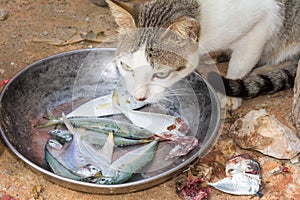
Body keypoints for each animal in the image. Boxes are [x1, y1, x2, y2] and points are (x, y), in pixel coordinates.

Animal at [106, 0, 300, 108]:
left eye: (161, 74)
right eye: (126, 66)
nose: (138, 97)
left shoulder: (262, 23)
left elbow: (241, 61)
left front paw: (230, 91)